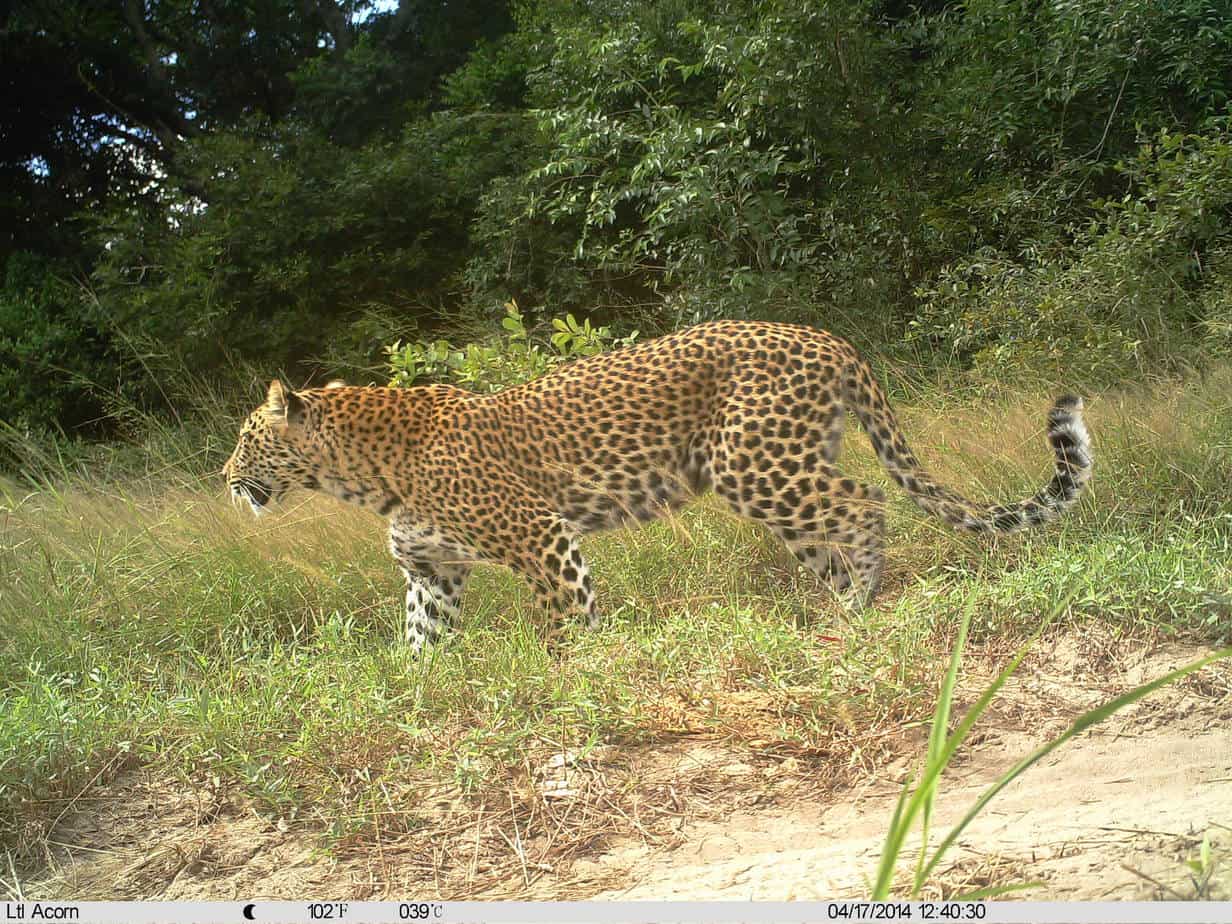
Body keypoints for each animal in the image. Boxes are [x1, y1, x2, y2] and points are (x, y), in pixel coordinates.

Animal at [223, 319, 1093, 653]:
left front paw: (576, 680)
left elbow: (567, 623)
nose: (226, 479)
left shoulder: (541, 538)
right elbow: (422, 647)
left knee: (866, 501)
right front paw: (419, 702)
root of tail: (824, 335)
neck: (360, 475)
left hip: (754, 469)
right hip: (780, 478)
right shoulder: (432, 573)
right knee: (832, 531)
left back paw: (857, 609)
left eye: (244, 439)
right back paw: (833, 612)